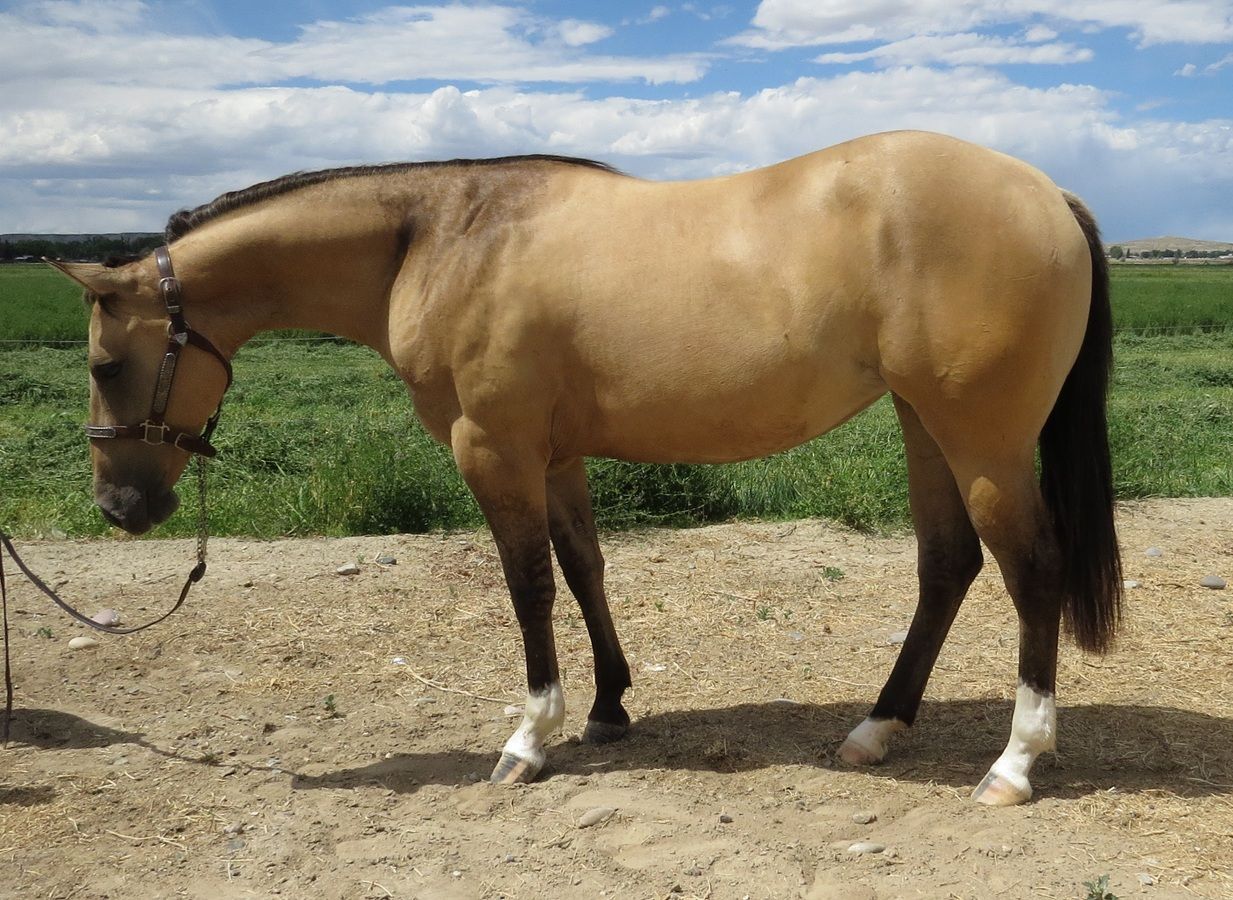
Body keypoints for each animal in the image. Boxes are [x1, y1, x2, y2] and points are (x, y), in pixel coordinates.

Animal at [49, 130, 1121, 806]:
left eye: (104, 366)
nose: (120, 505)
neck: (436, 239)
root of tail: (1046, 192)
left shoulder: (493, 448)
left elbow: (526, 586)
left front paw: (528, 740)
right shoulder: (556, 456)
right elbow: (581, 570)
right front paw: (607, 709)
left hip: (978, 437)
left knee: (1030, 571)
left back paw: (1014, 763)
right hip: (923, 424)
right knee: (947, 566)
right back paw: (877, 728)